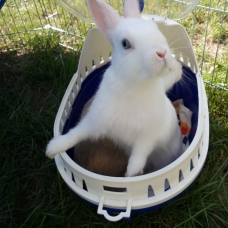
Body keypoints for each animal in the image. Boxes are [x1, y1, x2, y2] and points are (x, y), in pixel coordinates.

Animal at [45, 0, 183, 176]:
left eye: (154, 28)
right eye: (125, 44)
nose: (162, 53)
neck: (133, 83)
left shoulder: (148, 134)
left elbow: (140, 152)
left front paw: (132, 174)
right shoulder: (96, 120)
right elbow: (77, 132)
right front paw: (52, 148)